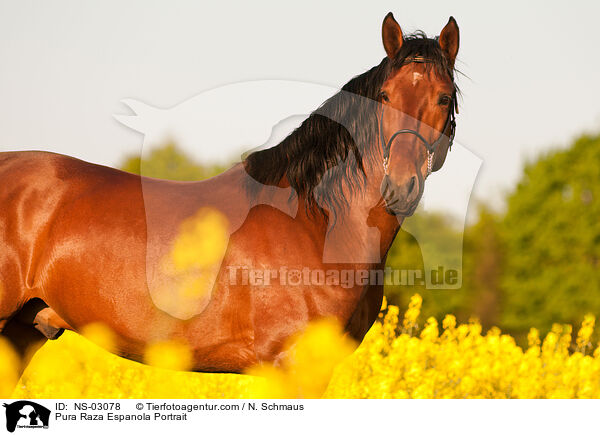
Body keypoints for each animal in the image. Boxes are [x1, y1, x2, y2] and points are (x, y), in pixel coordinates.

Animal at [0, 13, 460, 386]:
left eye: (443, 98)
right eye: (384, 97)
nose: (399, 185)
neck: (314, 224)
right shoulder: (291, 368)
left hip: (23, 332)